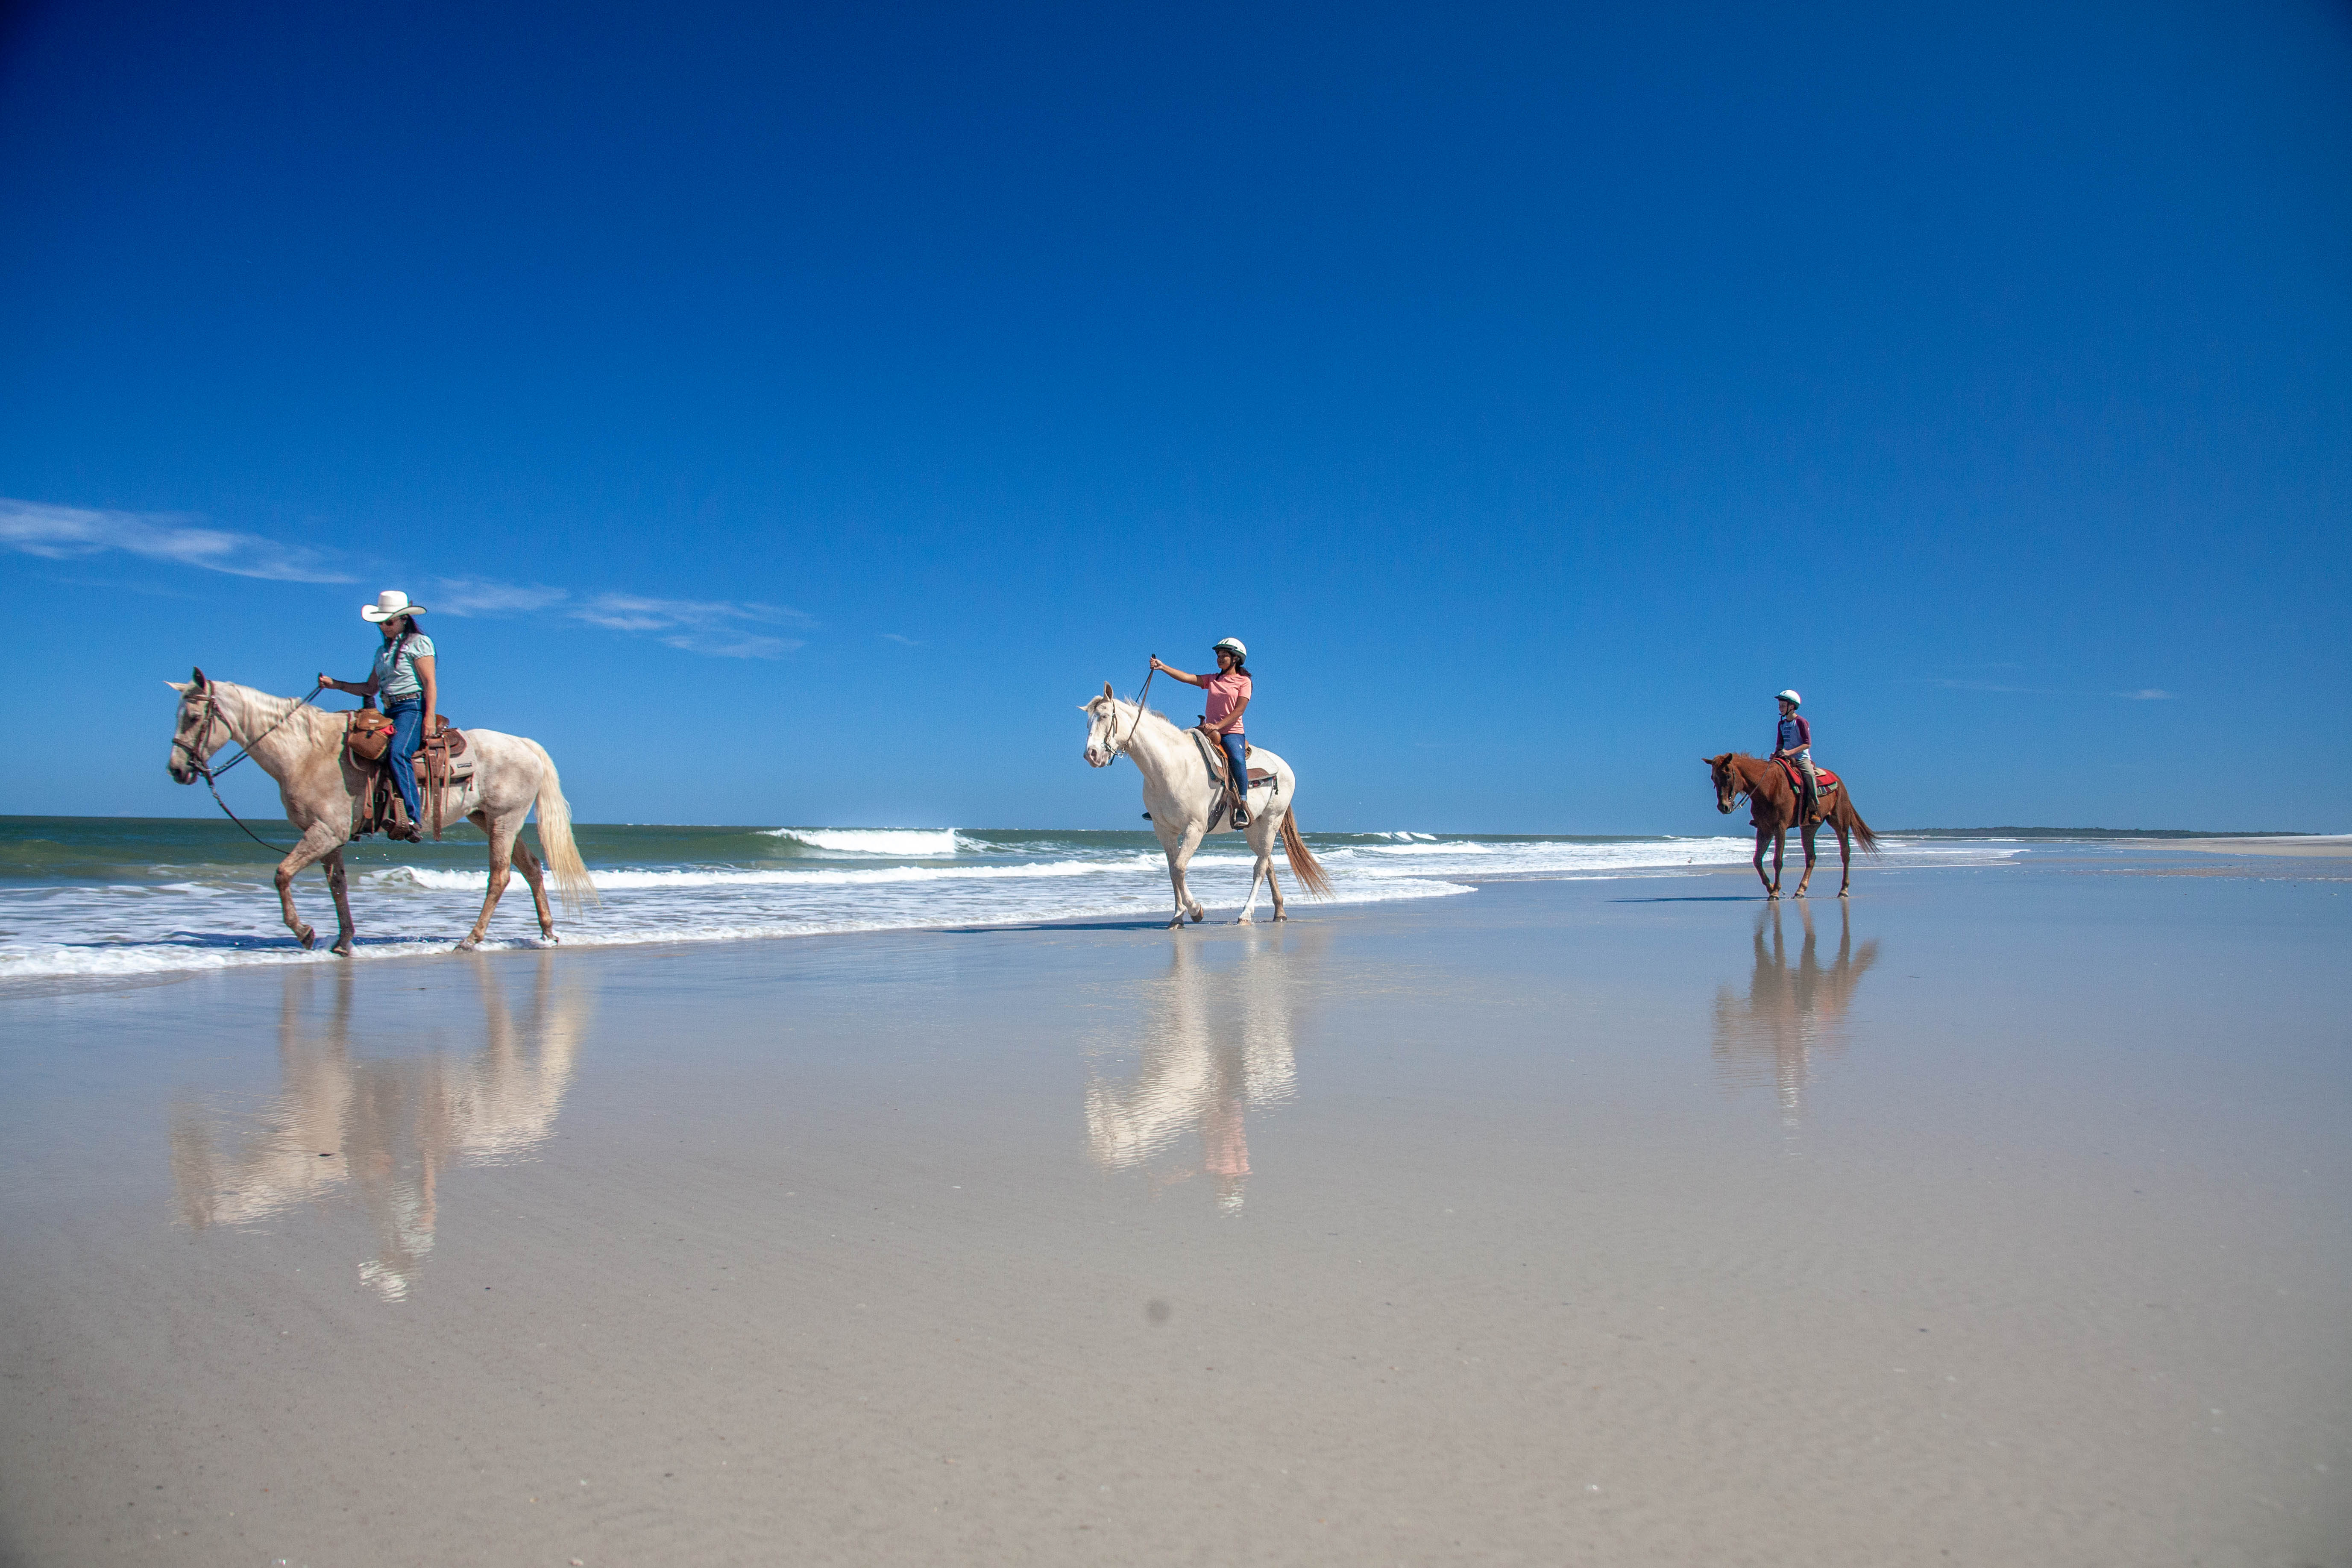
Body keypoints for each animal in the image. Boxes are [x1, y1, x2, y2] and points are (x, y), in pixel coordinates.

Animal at [166, 668, 597, 950]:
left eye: (193, 717)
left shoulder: (324, 831)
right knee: (531, 868)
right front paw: (343, 940)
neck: (306, 753)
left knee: (500, 876)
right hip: (489, 818)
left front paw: (305, 932)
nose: (177, 770)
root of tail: (525, 744)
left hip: (505, 820)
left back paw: (471, 939)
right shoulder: (329, 836)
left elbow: (282, 874)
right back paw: (547, 932)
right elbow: (337, 886)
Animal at [1077, 682, 1336, 926]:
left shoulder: (1195, 828)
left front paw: (1195, 911)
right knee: (1268, 862)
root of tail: (1283, 767)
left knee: (1260, 867)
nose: (1091, 755)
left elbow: (1180, 868)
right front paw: (1178, 916)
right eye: (1088, 723)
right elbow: (1172, 870)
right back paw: (1279, 912)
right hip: (1254, 828)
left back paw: (1246, 914)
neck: (1171, 767)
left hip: (1272, 822)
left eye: (1105, 716)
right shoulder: (1164, 830)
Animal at [1703, 752, 1881, 903]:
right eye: (1713, 778)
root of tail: (1840, 783)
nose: (1723, 807)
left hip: (1840, 824)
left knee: (1845, 854)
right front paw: (1771, 888)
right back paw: (1801, 890)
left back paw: (1843, 890)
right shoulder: (1764, 829)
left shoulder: (1780, 828)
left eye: (1727, 776)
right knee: (1811, 857)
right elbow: (1757, 860)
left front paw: (1775, 892)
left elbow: (1778, 861)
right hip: (1809, 828)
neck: (1768, 787)